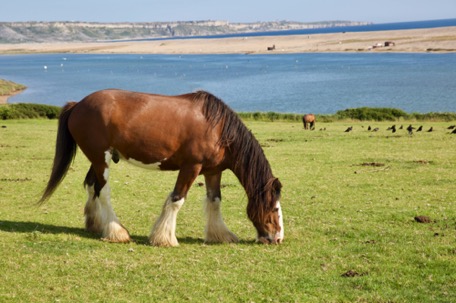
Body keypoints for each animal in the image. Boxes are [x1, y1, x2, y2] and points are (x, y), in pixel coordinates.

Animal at [39, 89, 284, 247]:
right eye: (274, 209)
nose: (278, 239)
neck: (217, 128)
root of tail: (77, 105)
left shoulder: (213, 171)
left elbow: (215, 201)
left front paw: (220, 235)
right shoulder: (191, 167)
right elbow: (176, 200)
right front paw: (164, 238)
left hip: (98, 159)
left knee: (92, 186)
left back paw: (97, 225)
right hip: (101, 159)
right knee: (103, 191)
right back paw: (117, 232)